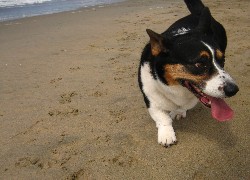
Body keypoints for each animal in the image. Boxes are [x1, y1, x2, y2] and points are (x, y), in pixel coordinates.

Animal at [138, 0, 239, 147]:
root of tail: (199, 12)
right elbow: (162, 117)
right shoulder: (150, 97)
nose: (233, 90)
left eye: (222, 60)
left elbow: (183, 107)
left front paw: (179, 112)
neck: (176, 88)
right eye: (199, 64)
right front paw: (166, 135)